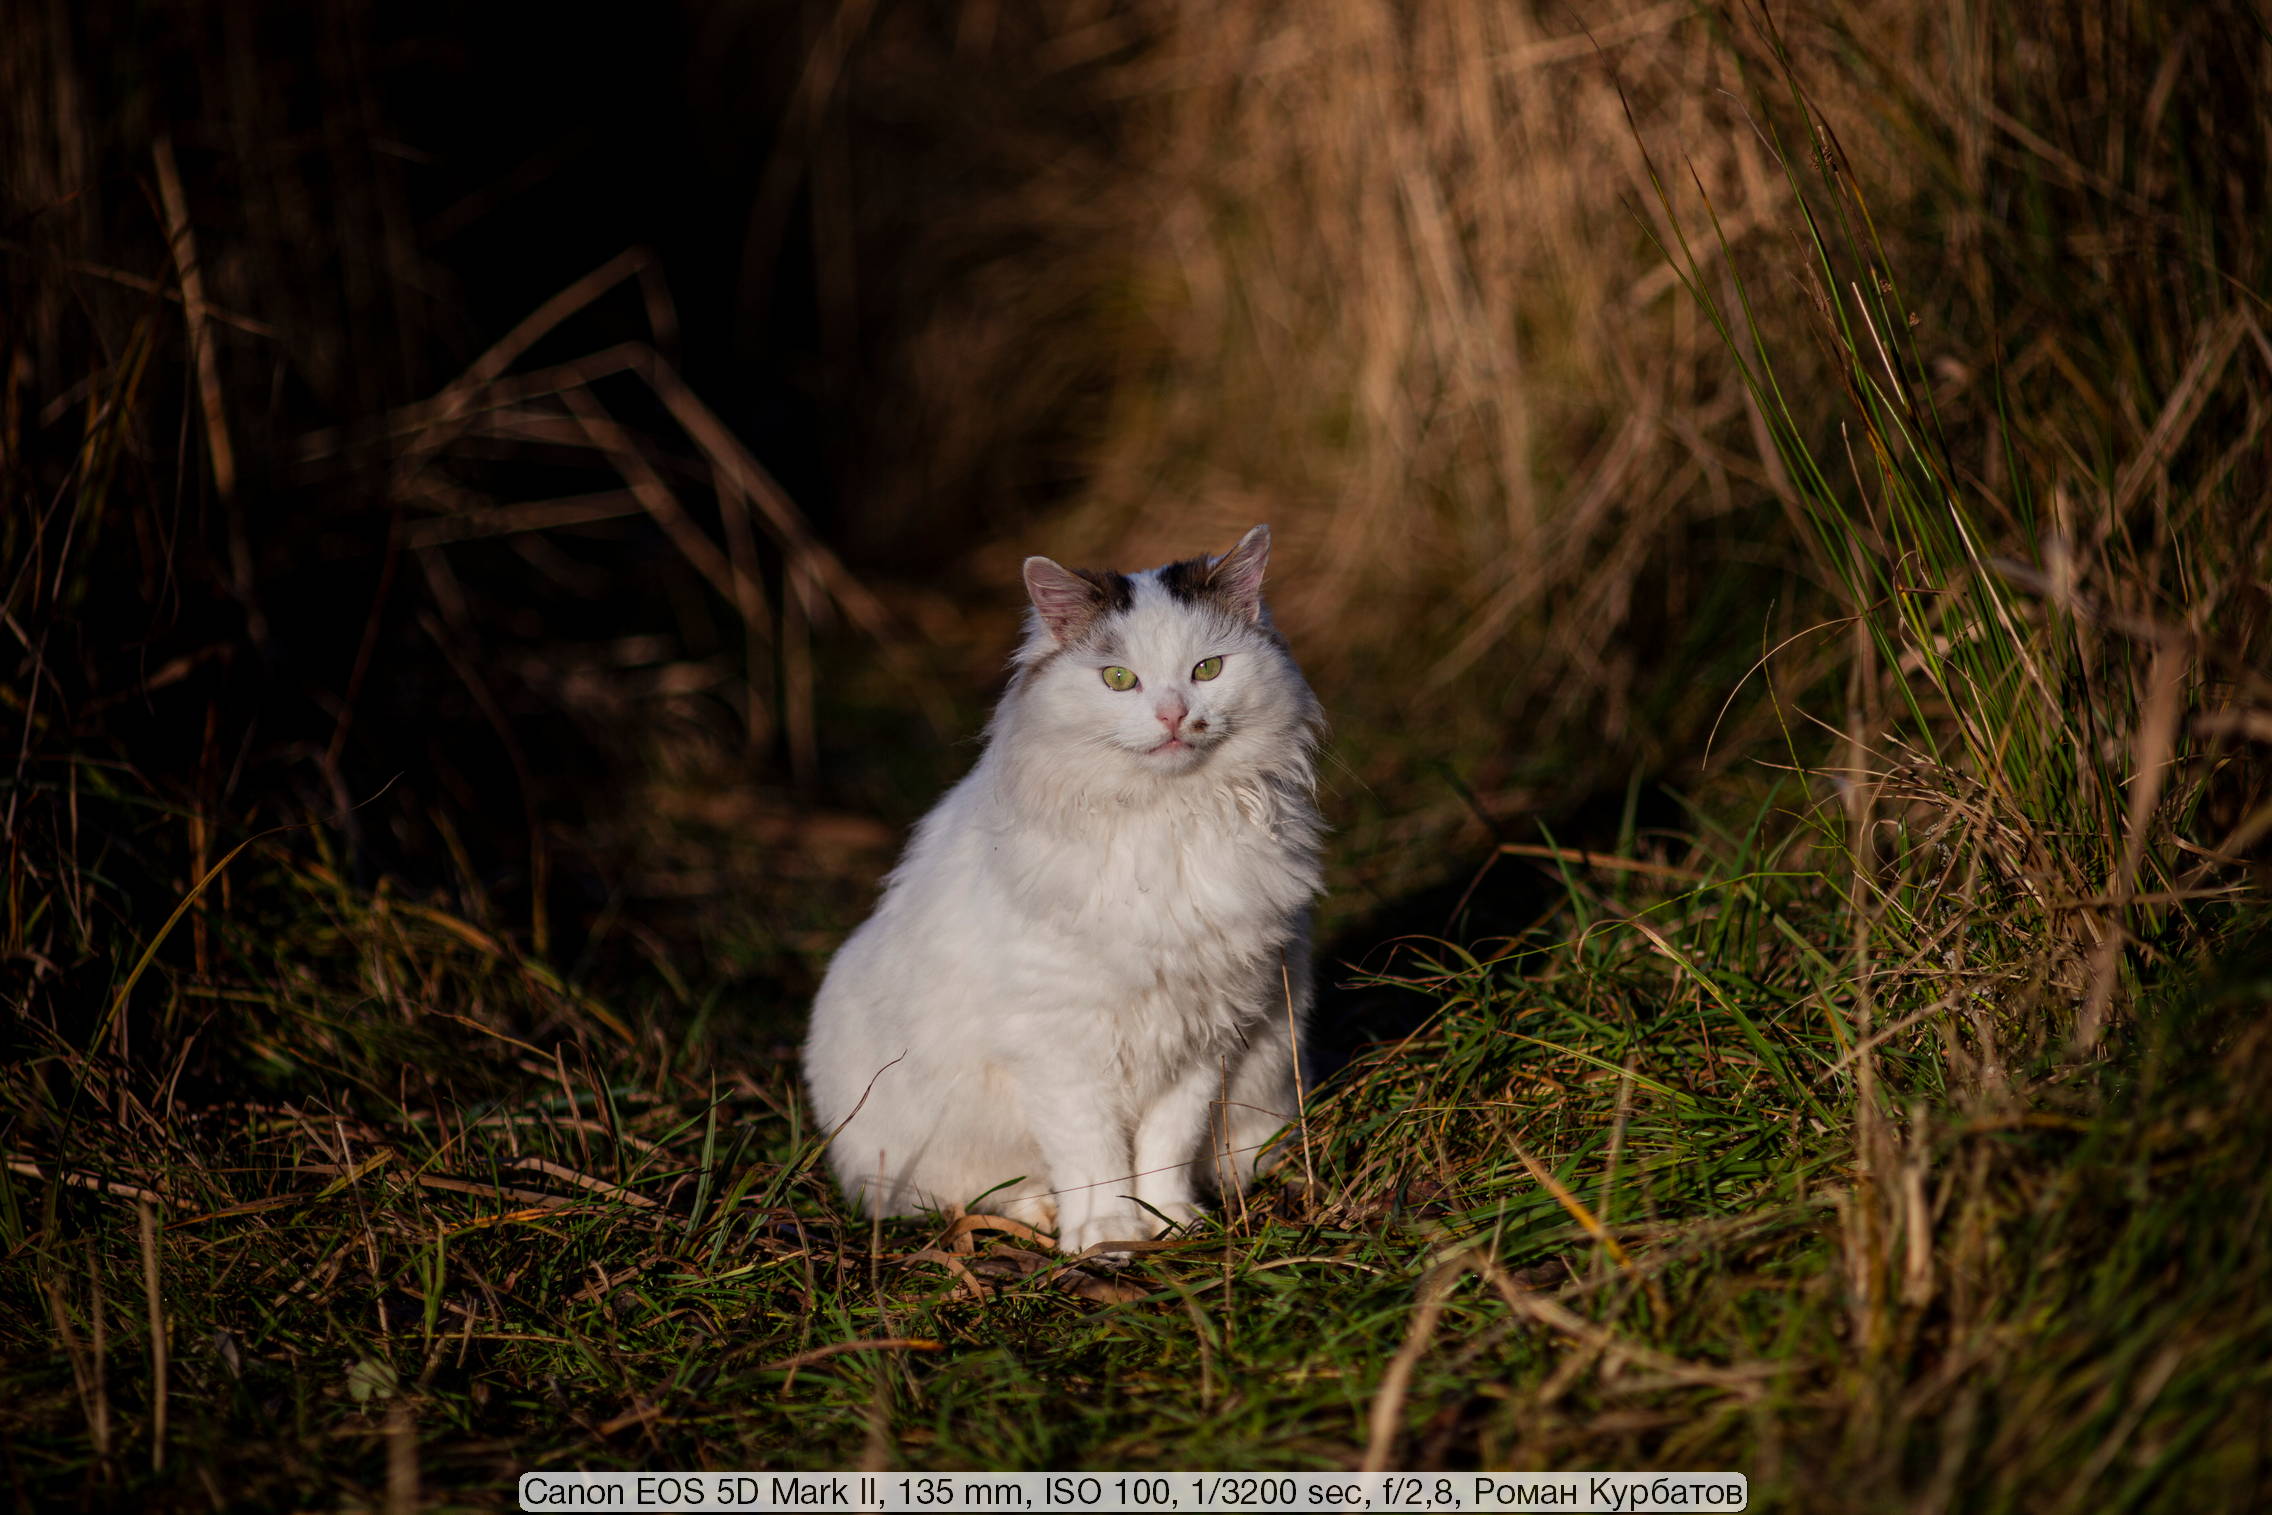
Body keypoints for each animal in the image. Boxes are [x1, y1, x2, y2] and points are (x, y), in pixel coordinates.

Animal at [804, 526, 1326, 1262]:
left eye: (1207, 670)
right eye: (1118, 679)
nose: (1174, 714)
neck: (1164, 825)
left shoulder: (1205, 1034)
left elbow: (1165, 1146)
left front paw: (1167, 1222)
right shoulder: (1058, 1046)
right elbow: (1094, 1153)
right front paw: (1105, 1233)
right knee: (978, 1195)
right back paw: (1042, 1214)